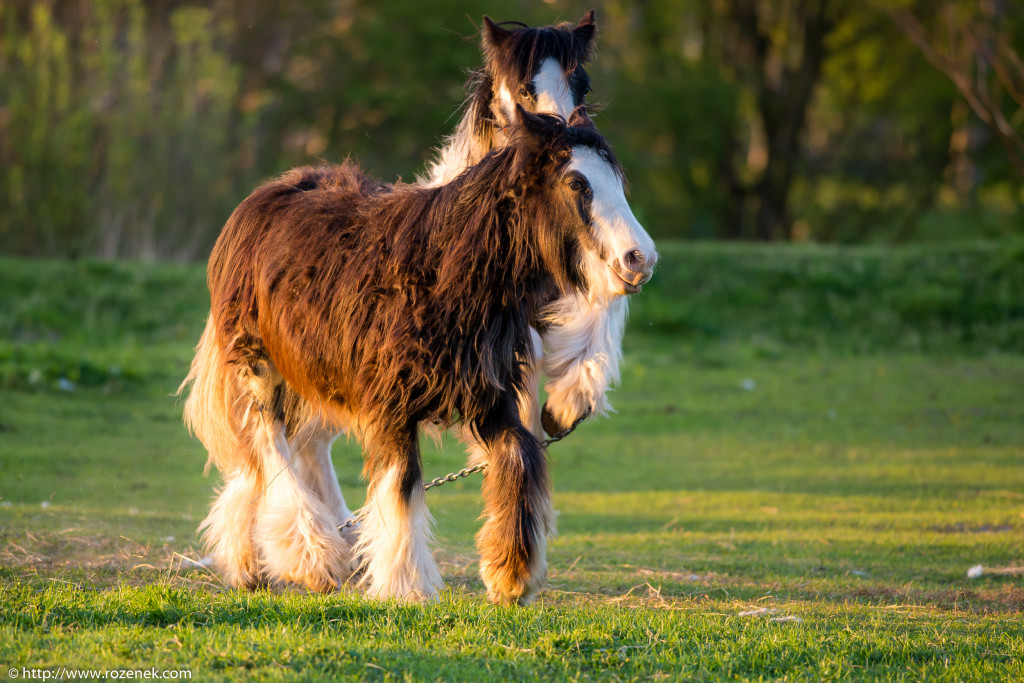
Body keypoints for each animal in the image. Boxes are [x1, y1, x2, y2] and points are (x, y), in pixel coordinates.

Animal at [180, 109, 651, 606]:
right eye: (577, 183)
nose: (640, 260)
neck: (444, 275)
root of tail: (260, 199)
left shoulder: (487, 396)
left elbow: (520, 454)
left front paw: (510, 575)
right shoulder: (391, 402)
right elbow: (402, 482)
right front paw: (407, 585)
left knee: (280, 454)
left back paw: (253, 562)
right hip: (260, 365)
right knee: (270, 446)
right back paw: (311, 559)